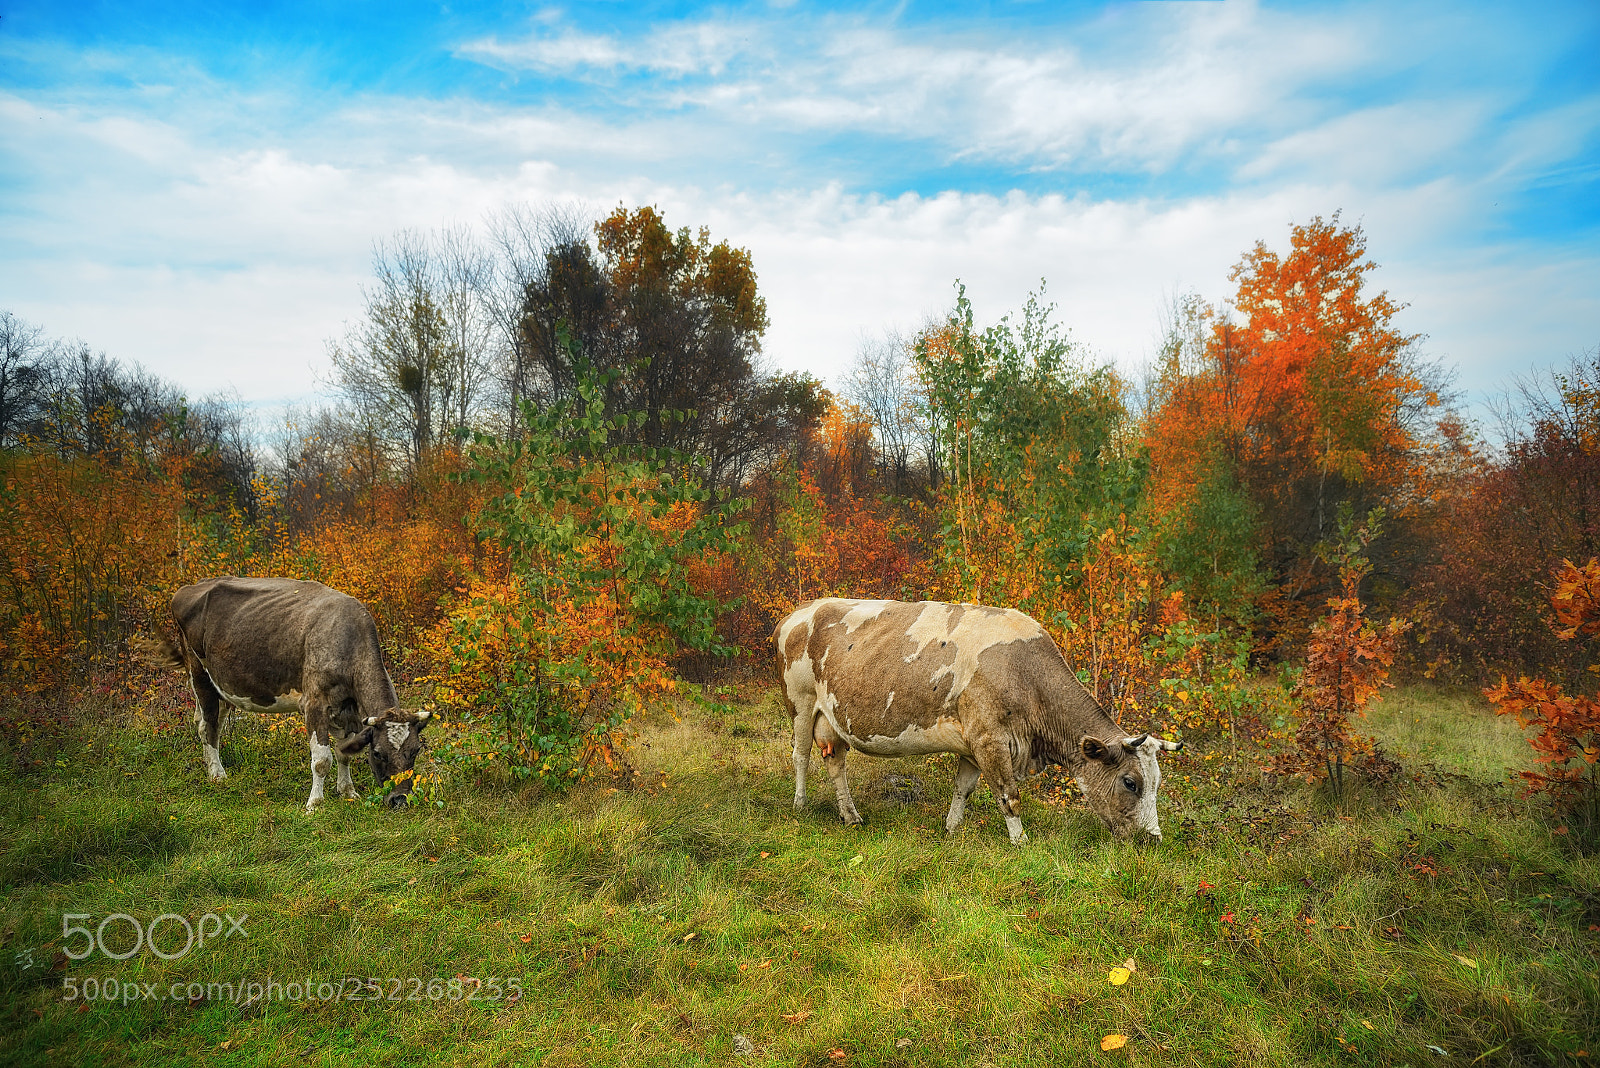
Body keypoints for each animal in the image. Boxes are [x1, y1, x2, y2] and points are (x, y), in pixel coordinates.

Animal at [138, 577, 430, 811]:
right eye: (378, 753)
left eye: (415, 750)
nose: (399, 800)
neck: (348, 640)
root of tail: (190, 587)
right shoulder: (314, 703)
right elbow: (322, 759)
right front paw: (315, 804)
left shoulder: (348, 708)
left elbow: (344, 752)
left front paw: (348, 792)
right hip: (199, 673)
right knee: (206, 725)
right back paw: (217, 775)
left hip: (223, 687)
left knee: (210, 723)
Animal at [775, 598, 1182, 844]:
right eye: (1130, 782)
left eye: (1158, 782)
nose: (1153, 840)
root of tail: (801, 610)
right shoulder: (990, 739)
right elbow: (1009, 796)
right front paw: (1021, 843)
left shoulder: (972, 744)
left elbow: (963, 789)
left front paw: (952, 830)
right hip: (800, 702)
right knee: (801, 756)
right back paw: (800, 805)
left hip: (833, 718)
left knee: (836, 764)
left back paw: (851, 816)